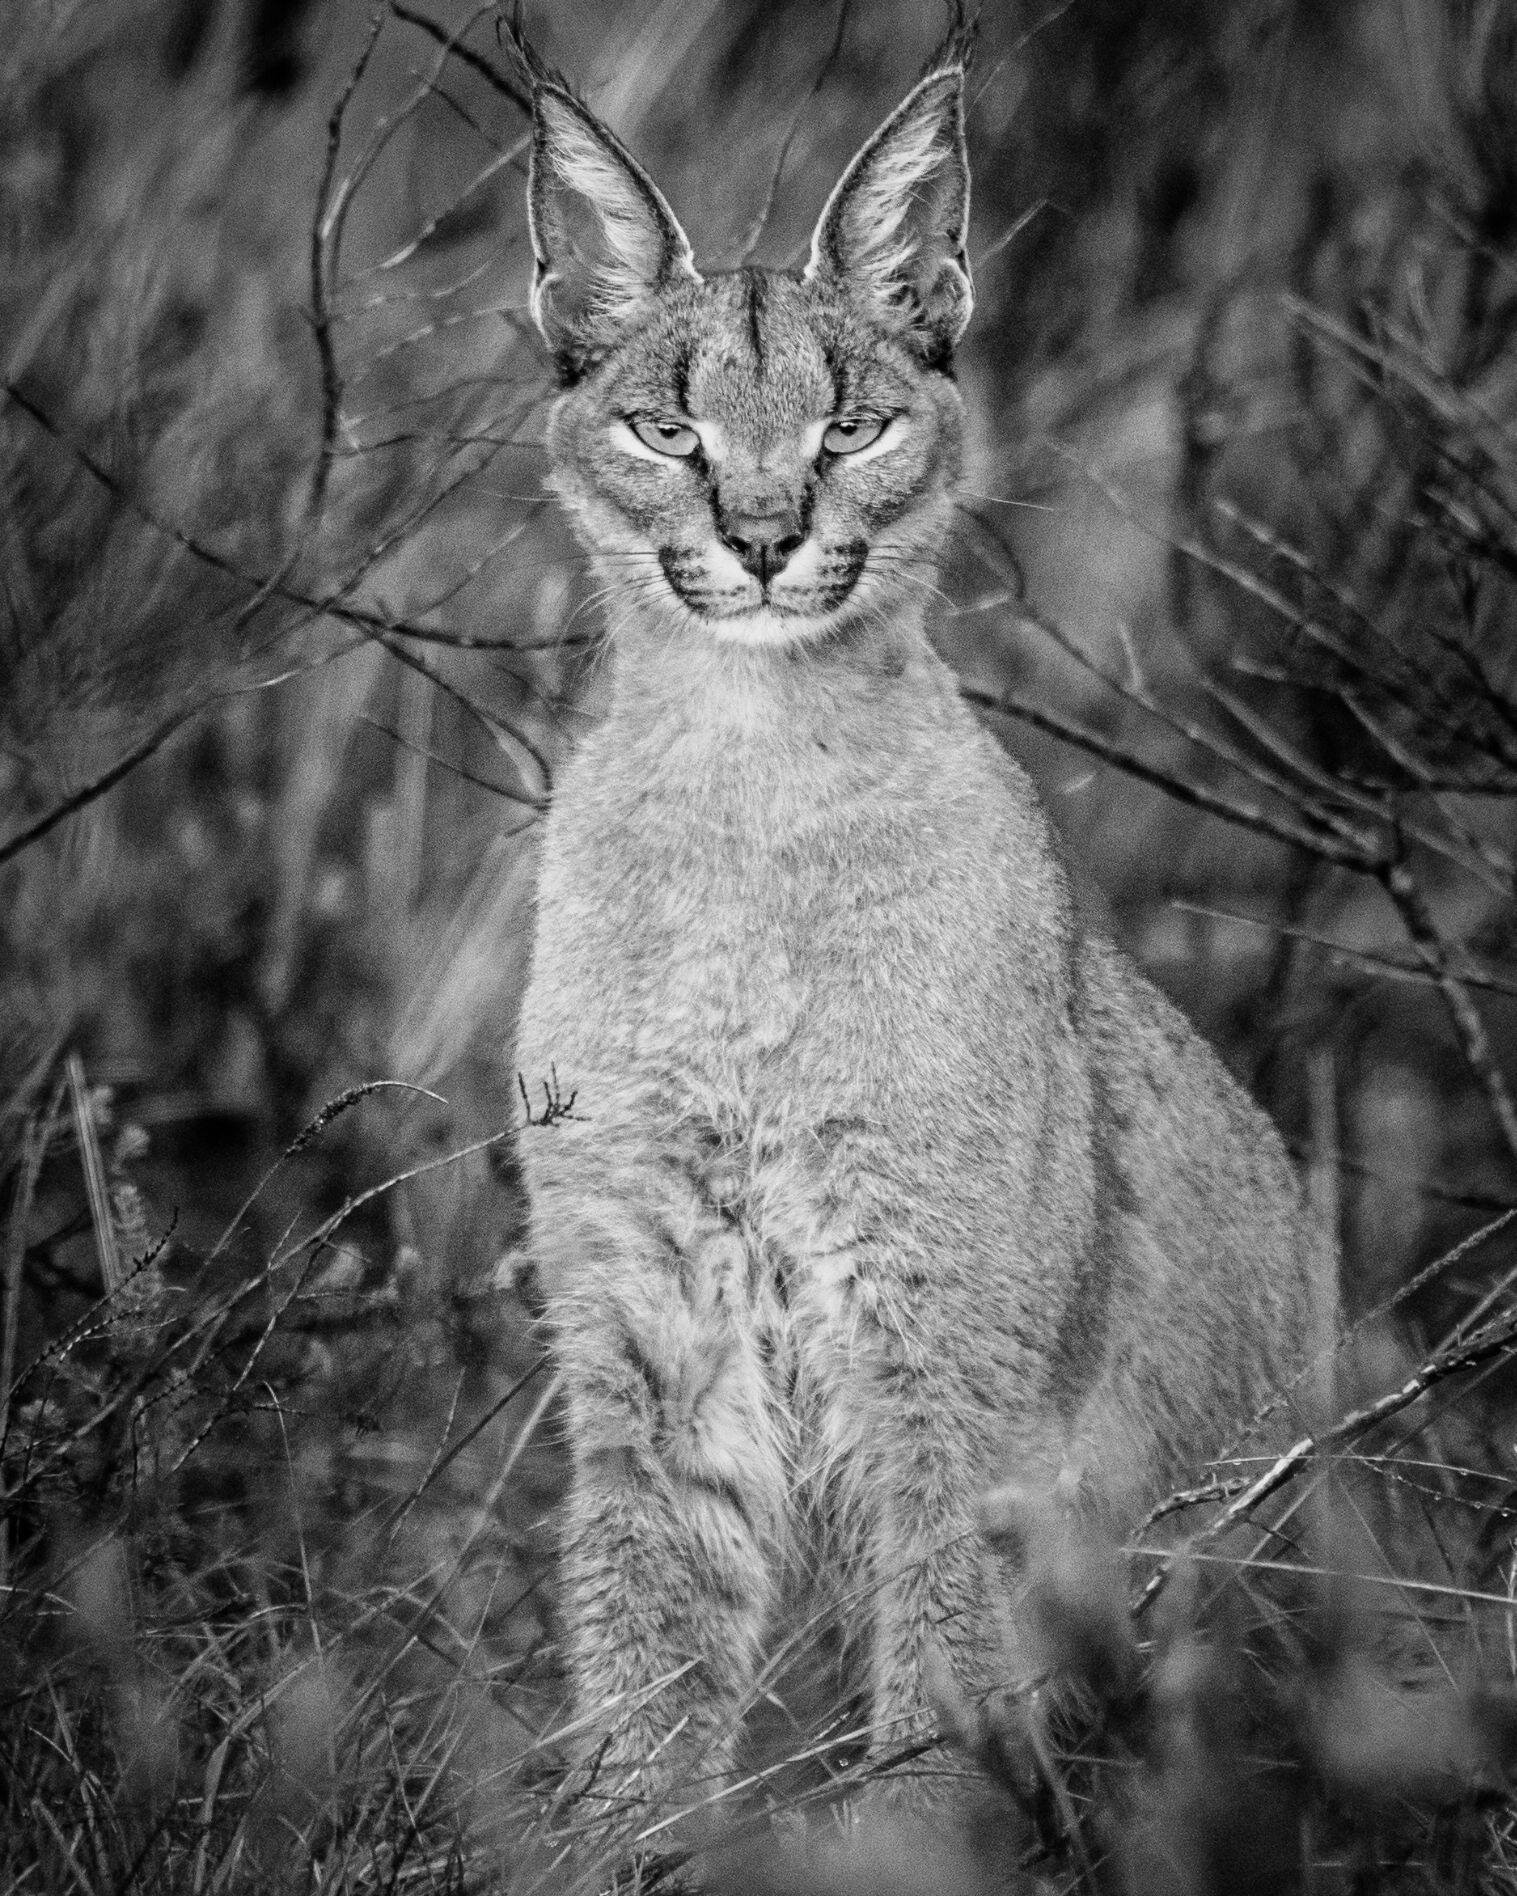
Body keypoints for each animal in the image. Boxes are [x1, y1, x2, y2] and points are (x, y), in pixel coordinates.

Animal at [508, 33, 1327, 1835]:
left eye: (854, 425)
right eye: (666, 428)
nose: (759, 539)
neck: (749, 776)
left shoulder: (948, 1373)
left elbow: (933, 1727)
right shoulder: (648, 1351)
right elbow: (635, 1709)